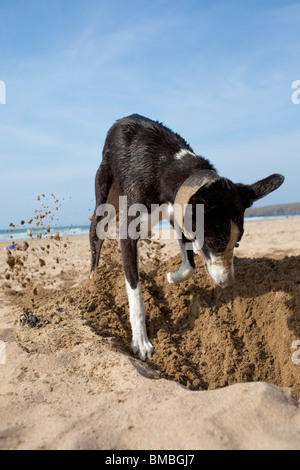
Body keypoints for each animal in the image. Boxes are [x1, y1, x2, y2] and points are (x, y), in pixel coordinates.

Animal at [89, 114, 284, 360]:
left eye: (237, 243)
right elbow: (136, 296)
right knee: (95, 235)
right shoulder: (129, 234)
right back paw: (93, 279)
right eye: (214, 243)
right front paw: (141, 340)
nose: (228, 283)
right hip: (104, 196)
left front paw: (172, 277)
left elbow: (190, 265)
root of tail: (121, 120)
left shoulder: (180, 214)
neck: (169, 167)